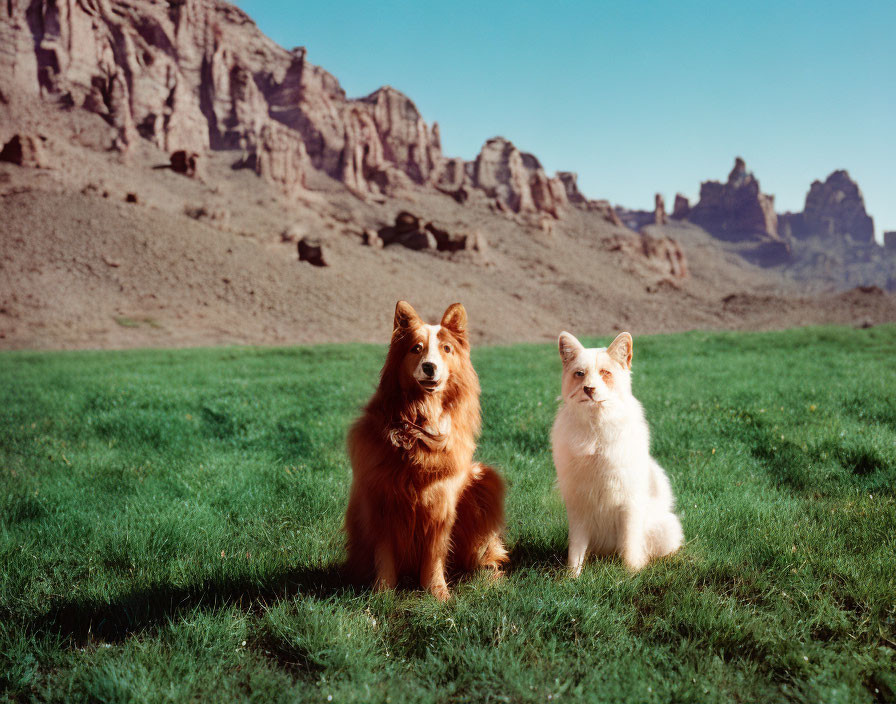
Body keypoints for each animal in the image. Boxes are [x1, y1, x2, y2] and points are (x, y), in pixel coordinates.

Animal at [344, 298, 508, 600]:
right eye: (416, 348)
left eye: (446, 349)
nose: (429, 367)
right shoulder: (382, 500)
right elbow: (384, 553)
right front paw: (382, 594)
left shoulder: (440, 502)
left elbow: (434, 552)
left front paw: (437, 594)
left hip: (485, 479)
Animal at [548, 332, 684, 576]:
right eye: (579, 374)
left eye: (605, 373)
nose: (588, 389)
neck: (595, 430)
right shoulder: (578, 505)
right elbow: (576, 549)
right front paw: (571, 578)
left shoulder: (629, 503)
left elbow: (629, 544)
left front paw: (630, 574)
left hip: (666, 529)